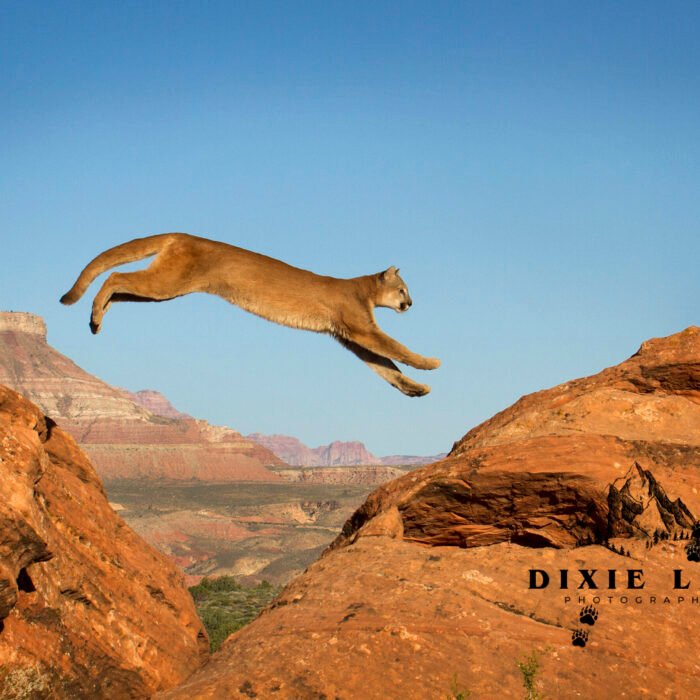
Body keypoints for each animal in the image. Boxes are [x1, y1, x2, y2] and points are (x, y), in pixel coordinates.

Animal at [60, 233, 440, 396]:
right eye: (403, 289)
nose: (411, 304)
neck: (364, 290)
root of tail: (180, 233)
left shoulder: (351, 338)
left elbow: (385, 367)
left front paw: (415, 389)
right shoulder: (361, 329)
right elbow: (395, 348)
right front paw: (431, 364)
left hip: (164, 290)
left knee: (120, 286)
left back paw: (97, 318)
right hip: (168, 282)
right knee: (115, 276)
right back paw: (94, 315)